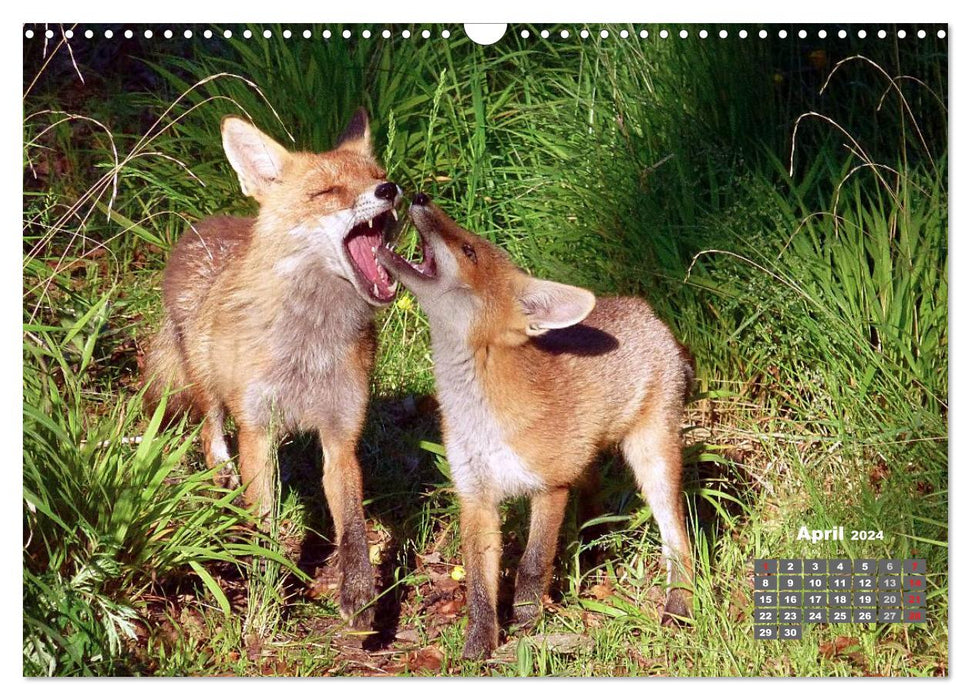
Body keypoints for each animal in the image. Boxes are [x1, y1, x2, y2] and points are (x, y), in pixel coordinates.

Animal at [140, 110, 398, 628]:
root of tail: (206, 224)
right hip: (208, 384)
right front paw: (263, 590)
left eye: (377, 176)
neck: (308, 347)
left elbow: (353, 526)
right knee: (209, 432)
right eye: (327, 192)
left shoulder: (341, 432)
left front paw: (360, 594)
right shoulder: (257, 429)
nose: (391, 190)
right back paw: (220, 476)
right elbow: (265, 526)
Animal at [376, 194, 696, 660]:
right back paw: (593, 553)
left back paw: (680, 605)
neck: (480, 419)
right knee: (595, 501)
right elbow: (478, 584)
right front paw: (479, 645)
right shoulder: (475, 495)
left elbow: (531, 564)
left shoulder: (551, 486)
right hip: (589, 462)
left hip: (652, 462)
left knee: (679, 540)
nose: (418, 197)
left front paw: (527, 621)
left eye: (469, 250)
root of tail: (646, 310)